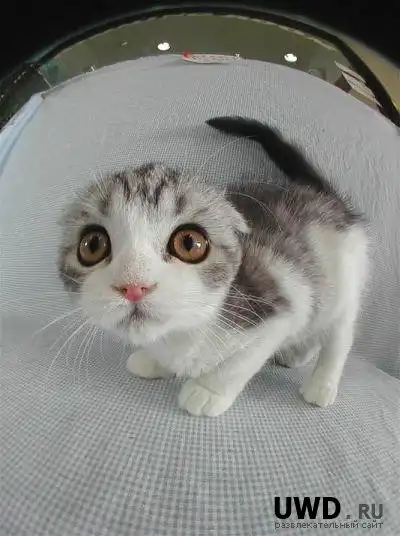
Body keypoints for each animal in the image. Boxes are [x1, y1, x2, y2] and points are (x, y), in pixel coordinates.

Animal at [58, 116, 368, 417]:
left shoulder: (277, 307)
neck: (185, 330)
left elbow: (239, 363)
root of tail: (321, 195)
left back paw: (322, 383)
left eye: (190, 243)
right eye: (92, 245)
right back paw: (297, 354)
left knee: (339, 333)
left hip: (345, 277)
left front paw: (207, 391)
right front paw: (155, 361)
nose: (134, 286)